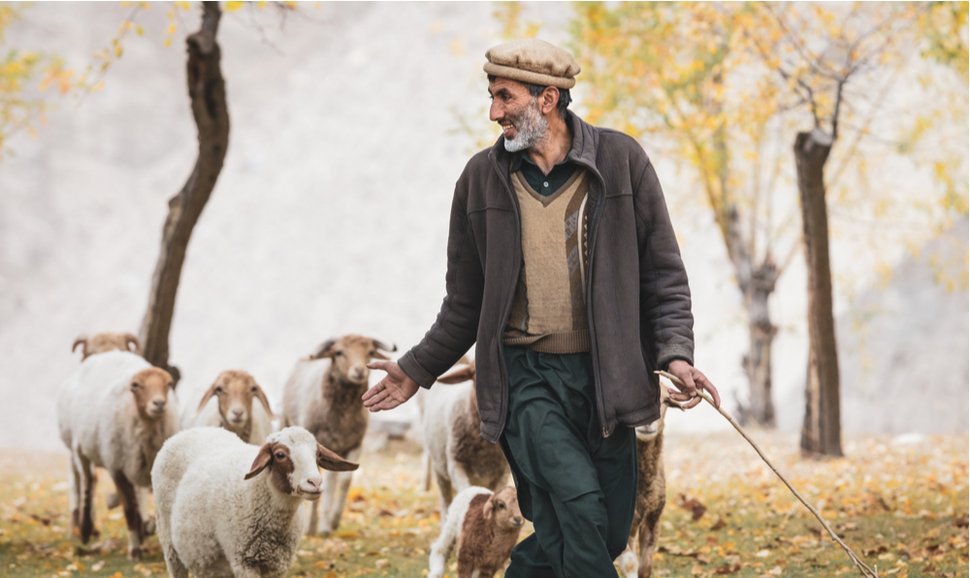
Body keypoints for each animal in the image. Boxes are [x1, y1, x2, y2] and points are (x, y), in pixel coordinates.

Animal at [56, 348, 179, 556]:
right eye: (136, 385)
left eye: (168, 383)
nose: (159, 403)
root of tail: (109, 352)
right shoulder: (116, 467)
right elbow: (128, 508)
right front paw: (134, 549)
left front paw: (143, 531)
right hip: (80, 448)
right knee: (88, 482)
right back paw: (85, 530)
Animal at [153, 424, 358, 576]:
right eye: (280, 455)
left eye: (318, 455)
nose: (315, 482)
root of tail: (190, 430)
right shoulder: (245, 562)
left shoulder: (276, 566)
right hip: (169, 542)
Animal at [280, 332, 398, 536]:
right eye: (339, 352)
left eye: (370, 352)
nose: (359, 371)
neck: (342, 420)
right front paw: (311, 528)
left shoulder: (355, 444)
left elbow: (344, 481)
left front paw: (333, 521)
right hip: (285, 421)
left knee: (332, 482)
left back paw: (326, 525)